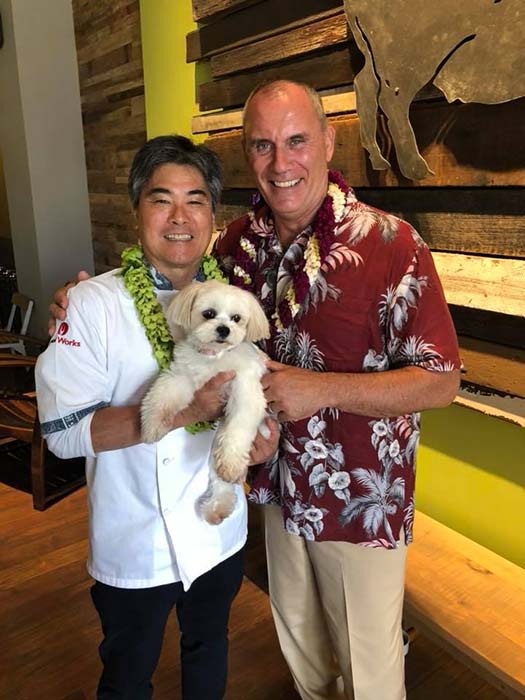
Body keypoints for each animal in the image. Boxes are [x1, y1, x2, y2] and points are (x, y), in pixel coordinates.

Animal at [140, 278, 270, 524]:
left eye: (236, 318)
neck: (214, 357)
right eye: (209, 314)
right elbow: (162, 397)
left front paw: (231, 464)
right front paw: (153, 425)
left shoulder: (245, 393)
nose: (224, 329)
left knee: (221, 471)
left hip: (223, 438)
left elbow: (239, 426)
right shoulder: (181, 377)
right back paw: (218, 508)